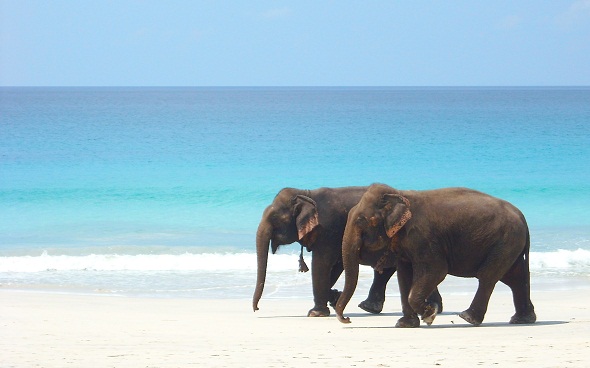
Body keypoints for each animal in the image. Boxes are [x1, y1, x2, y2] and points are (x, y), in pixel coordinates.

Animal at [254, 187, 444, 316]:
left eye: (275, 219)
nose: (256, 308)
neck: (307, 193)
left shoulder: (329, 230)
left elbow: (322, 264)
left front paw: (316, 313)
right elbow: (336, 266)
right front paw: (334, 298)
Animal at [336, 184, 540, 328]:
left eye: (361, 221)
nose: (347, 319)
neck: (400, 194)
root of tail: (522, 217)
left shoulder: (423, 238)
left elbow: (436, 271)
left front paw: (429, 315)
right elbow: (404, 276)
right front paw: (405, 324)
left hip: (506, 241)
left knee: (489, 276)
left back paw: (467, 318)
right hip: (509, 244)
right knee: (515, 278)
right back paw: (522, 320)